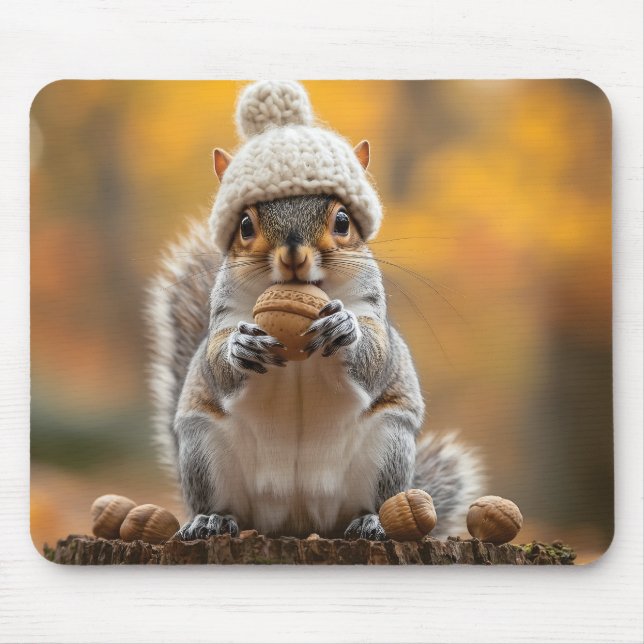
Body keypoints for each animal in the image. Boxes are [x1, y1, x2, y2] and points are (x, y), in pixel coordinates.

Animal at [145, 81, 483, 541]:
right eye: (245, 226)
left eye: (343, 220)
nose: (293, 254)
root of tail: (296, 518)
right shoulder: (225, 315)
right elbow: (216, 361)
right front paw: (239, 348)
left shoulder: (371, 310)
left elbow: (376, 355)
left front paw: (344, 329)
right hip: (203, 451)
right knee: (222, 505)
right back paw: (211, 519)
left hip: (388, 447)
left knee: (371, 502)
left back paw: (371, 520)